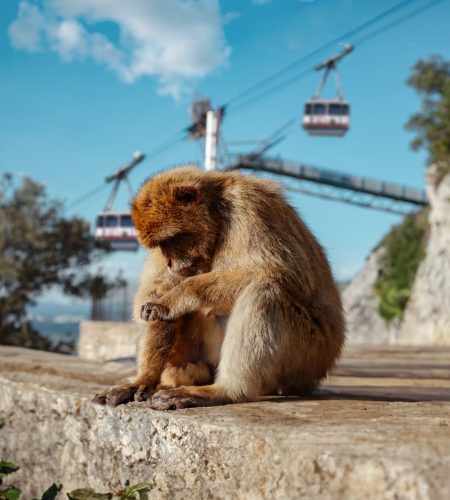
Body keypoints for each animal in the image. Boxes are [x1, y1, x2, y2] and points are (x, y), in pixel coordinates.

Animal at [93, 166, 342, 408]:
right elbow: (153, 293)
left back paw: (225, 391)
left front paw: (176, 297)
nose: (169, 262)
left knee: (264, 291)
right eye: (160, 245)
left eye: (170, 240)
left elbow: (284, 273)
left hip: (308, 356)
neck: (219, 218)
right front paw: (145, 378)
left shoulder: (250, 205)